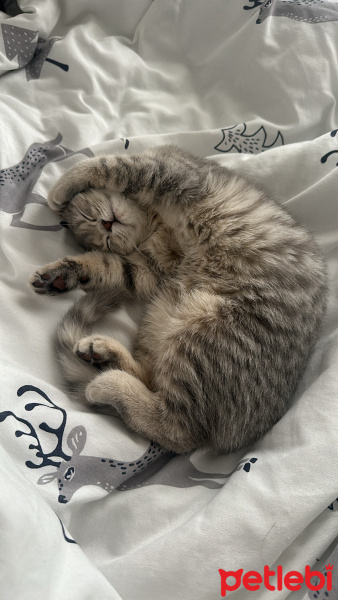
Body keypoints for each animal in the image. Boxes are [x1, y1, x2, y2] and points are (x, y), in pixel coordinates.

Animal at [29, 146, 328, 454]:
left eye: (88, 215)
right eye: (103, 238)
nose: (107, 224)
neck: (156, 223)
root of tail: (247, 432)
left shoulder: (172, 173)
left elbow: (110, 164)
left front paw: (62, 187)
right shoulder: (148, 269)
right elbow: (107, 267)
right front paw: (61, 275)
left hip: (202, 329)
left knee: (178, 431)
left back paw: (107, 382)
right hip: (169, 319)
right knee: (162, 399)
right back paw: (103, 355)